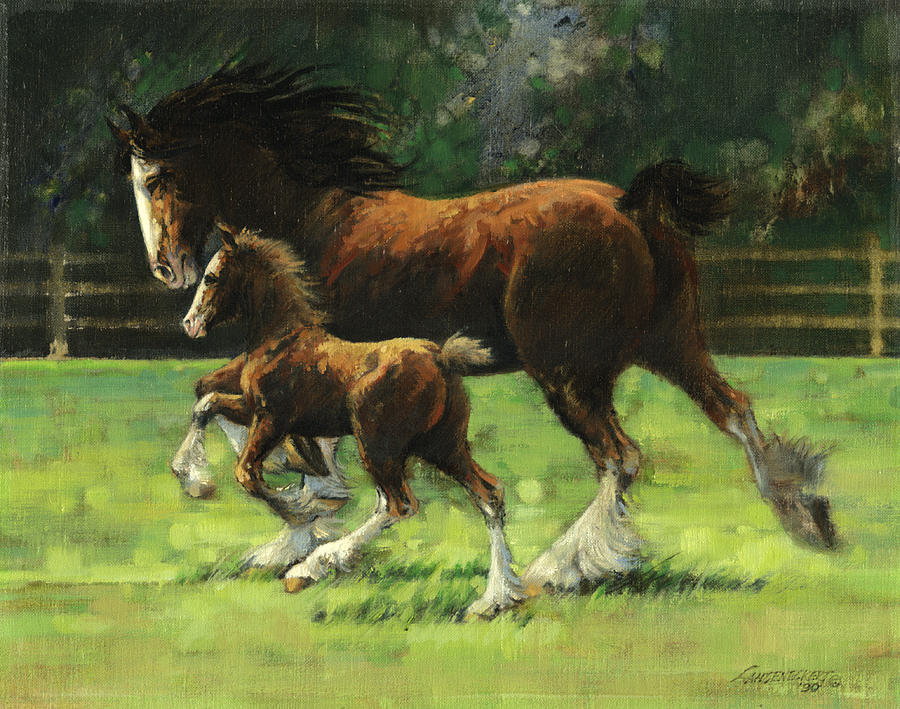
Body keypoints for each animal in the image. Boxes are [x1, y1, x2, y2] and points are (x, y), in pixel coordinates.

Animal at [180, 227, 526, 618]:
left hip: (377, 446)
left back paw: (311, 567)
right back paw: (494, 599)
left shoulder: (270, 418)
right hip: (443, 447)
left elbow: (246, 473)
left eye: (212, 276)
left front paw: (306, 512)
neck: (280, 341)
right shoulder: (251, 407)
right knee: (488, 495)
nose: (190, 323)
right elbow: (206, 403)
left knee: (398, 505)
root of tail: (443, 357)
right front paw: (197, 480)